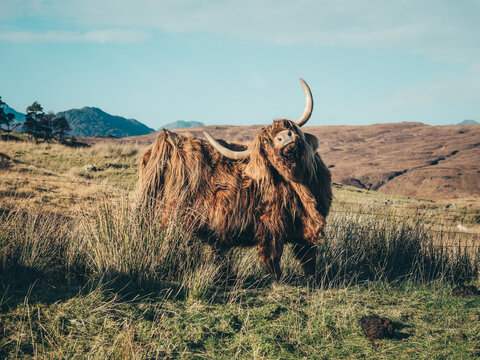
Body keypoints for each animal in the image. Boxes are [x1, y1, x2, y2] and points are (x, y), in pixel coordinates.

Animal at [140, 79, 330, 278]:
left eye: (289, 127)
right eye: (266, 141)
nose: (284, 137)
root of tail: (167, 140)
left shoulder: (305, 229)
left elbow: (308, 257)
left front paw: (313, 278)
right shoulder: (271, 226)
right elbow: (273, 258)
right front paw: (278, 278)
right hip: (176, 215)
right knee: (170, 241)